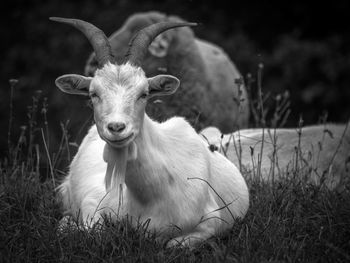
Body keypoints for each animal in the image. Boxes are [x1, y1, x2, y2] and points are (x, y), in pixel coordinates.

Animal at [51, 17, 249, 249]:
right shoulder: (95, 199)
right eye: (93, 93)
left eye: (144, 93)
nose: (116, 128)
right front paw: (67, 225)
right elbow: (93, 231)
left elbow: (172, 245)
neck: (153, 194)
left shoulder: (210, 224)